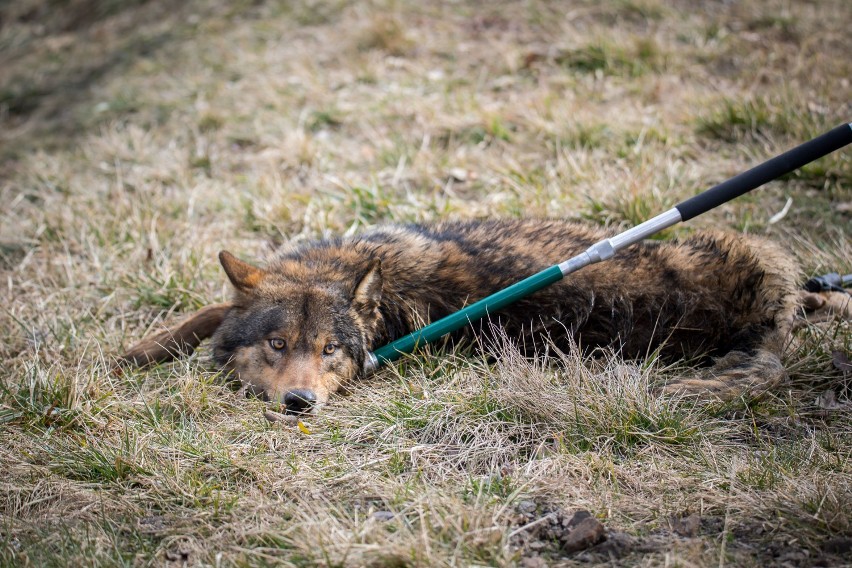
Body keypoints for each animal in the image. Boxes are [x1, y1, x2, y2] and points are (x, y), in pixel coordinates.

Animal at [120, 221, 804, 412]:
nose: (300, 404)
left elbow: (212, 312)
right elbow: (207, 310)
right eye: (278, 345)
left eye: (329, 351)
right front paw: (136, 351)